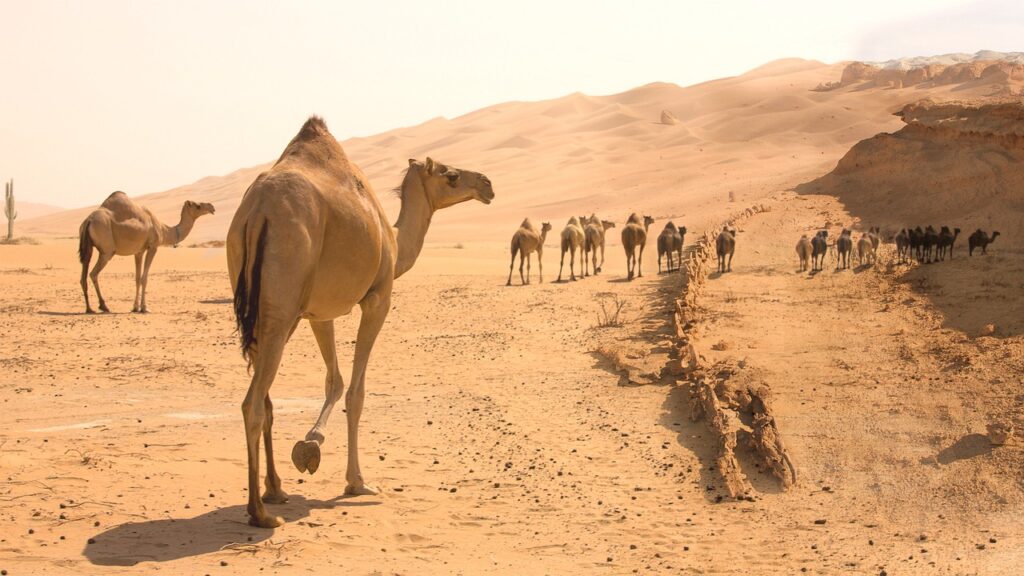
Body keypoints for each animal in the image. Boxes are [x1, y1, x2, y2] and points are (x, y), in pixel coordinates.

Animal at [77, 190, 214, 311]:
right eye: (198, 206)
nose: (212, 207)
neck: (163, 230)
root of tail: (89, 220)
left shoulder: (139, 251)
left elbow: (137, 278)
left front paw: (135, 307)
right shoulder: (153, 247)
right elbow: (144, 278)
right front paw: (144, 307)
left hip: (88, 246)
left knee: (84, 272)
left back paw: (89, 309)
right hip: (107, 250)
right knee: (93, 273)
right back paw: (103, 306)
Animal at [230, 117, 493, 528]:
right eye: (451, 175)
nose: (486, 183)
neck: (395, 241)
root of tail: (258, 210)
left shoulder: (318, 311)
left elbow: (334, 381)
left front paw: (309, 447)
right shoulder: (377, 299)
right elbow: (356, 392)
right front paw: (356, 481)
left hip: (264, 308)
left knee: (265, 398)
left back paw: (275, 491)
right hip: (281, 307)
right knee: (253, 404)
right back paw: (260, 513)